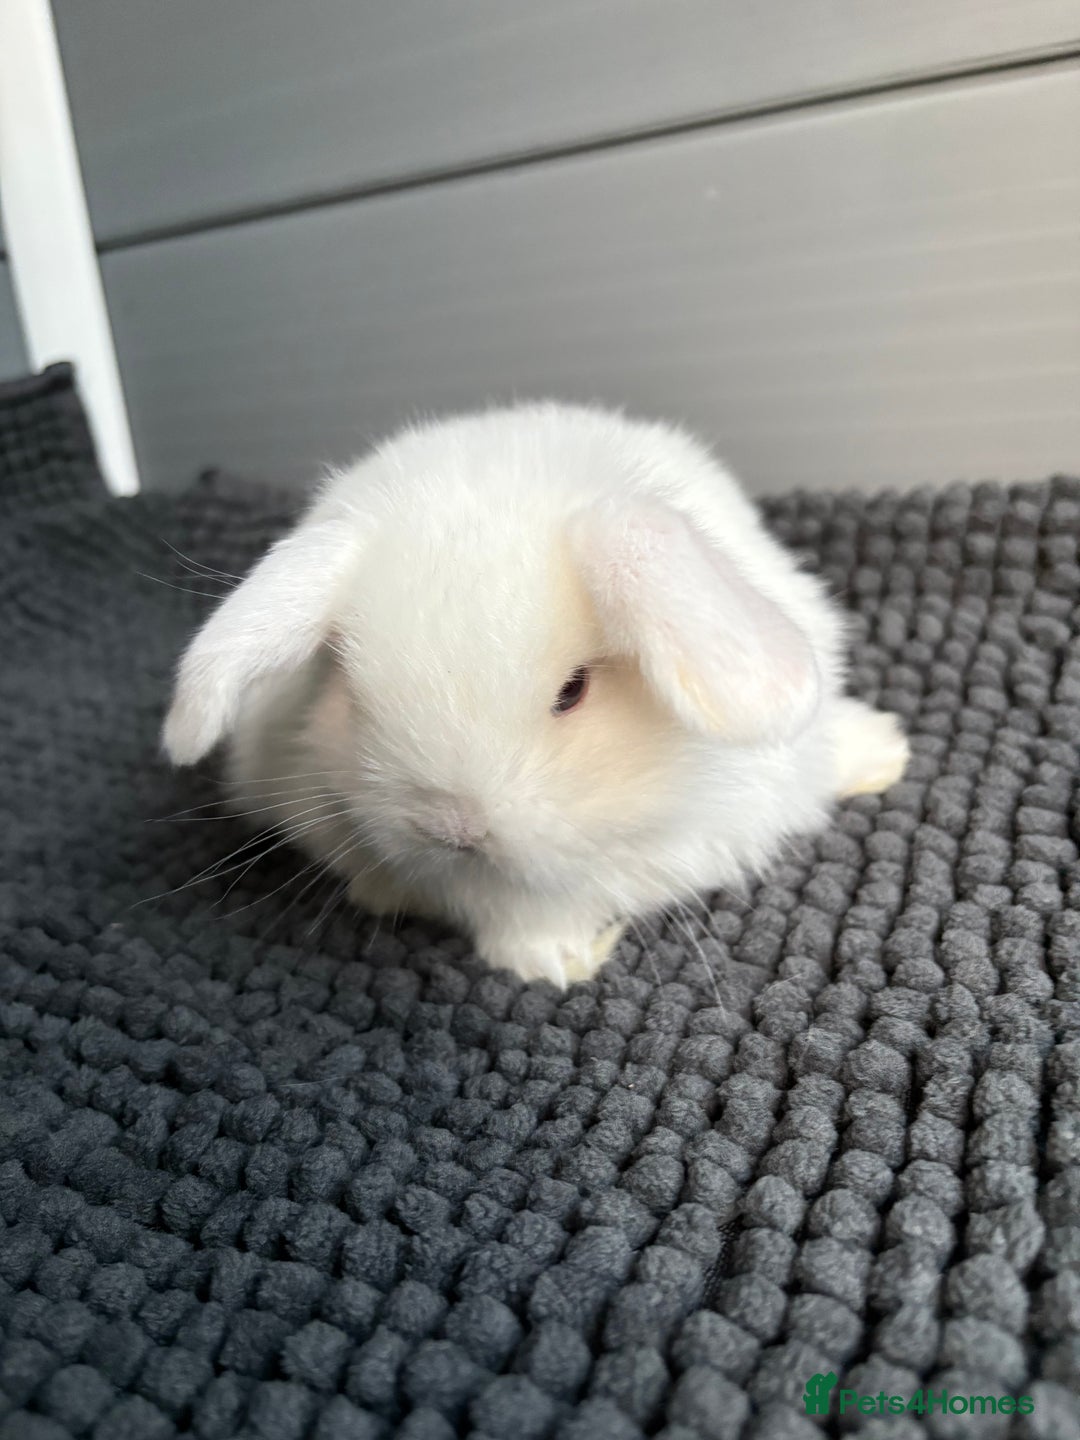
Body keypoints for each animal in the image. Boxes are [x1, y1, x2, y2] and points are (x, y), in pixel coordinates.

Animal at [163, 402, 909, 987]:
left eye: (573, 690)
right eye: (350, 686)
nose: (452, 827)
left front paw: (886, 754)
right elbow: (518, 918)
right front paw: (557, 962)